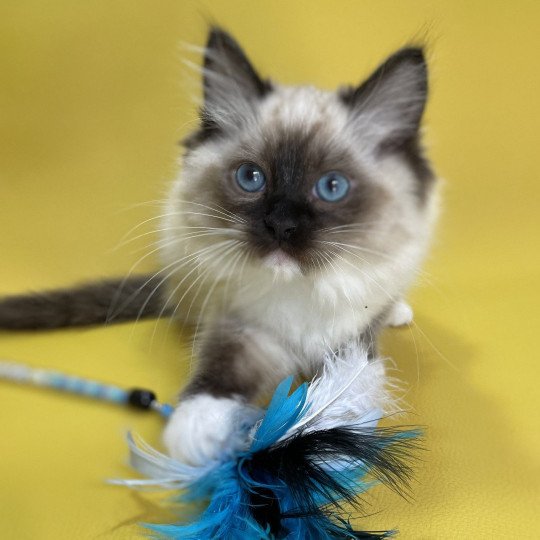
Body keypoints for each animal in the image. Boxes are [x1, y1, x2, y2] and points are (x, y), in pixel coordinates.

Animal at [0, 26, 438, 464]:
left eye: (332, 187)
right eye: (251, 178)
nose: (281, 225)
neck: (297, 294)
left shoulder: (354, 336)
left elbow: (351, 382)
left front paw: (327, 443)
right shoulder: (243, 327)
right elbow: (221, 371)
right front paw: (197, 433)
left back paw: (397, 309)